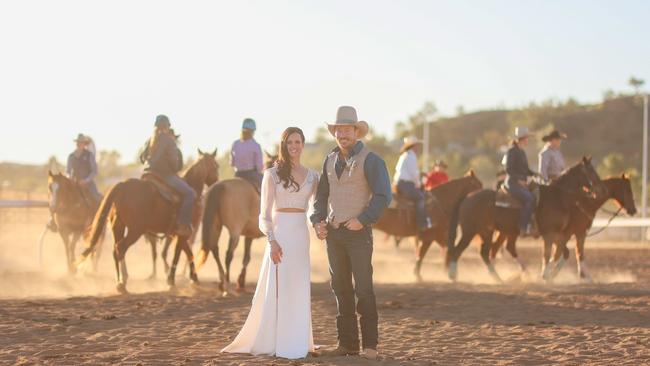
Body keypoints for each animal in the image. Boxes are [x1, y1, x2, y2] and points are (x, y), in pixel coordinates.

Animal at [76, 147, 218, 294]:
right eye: (215, 165)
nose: (216, 180)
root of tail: (123, 185)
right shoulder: (184, 233)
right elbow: (179, 255)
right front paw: (173, 281)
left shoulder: (179, 234)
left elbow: (187, 253)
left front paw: (192, 279)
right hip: (135, 231)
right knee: (121, 248)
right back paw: (123, 282)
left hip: (118, 227)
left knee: (116, 250)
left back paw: (119, 283)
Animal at [192, 153, 274, 294]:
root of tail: (220, 186)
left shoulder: (249, 236)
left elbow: (247, 257)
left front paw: (241, 281)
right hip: (234, 231)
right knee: (228, 254)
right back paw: (226, 283)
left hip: (216, 226)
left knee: (215, 249)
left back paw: (222, 281)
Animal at [446, 156, 604, 282]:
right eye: (591, 171)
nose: (600, 190)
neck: (557, 197)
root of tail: (467, 198)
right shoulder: (549, 233)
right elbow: (548, 254)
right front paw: (545, 275)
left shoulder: (558, 234)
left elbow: (563, 253)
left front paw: (550, 275)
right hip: (471, 231)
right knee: (459, 250)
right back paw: (454, 276)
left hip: (489, 232)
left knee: (487, 252)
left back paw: (499, 278)